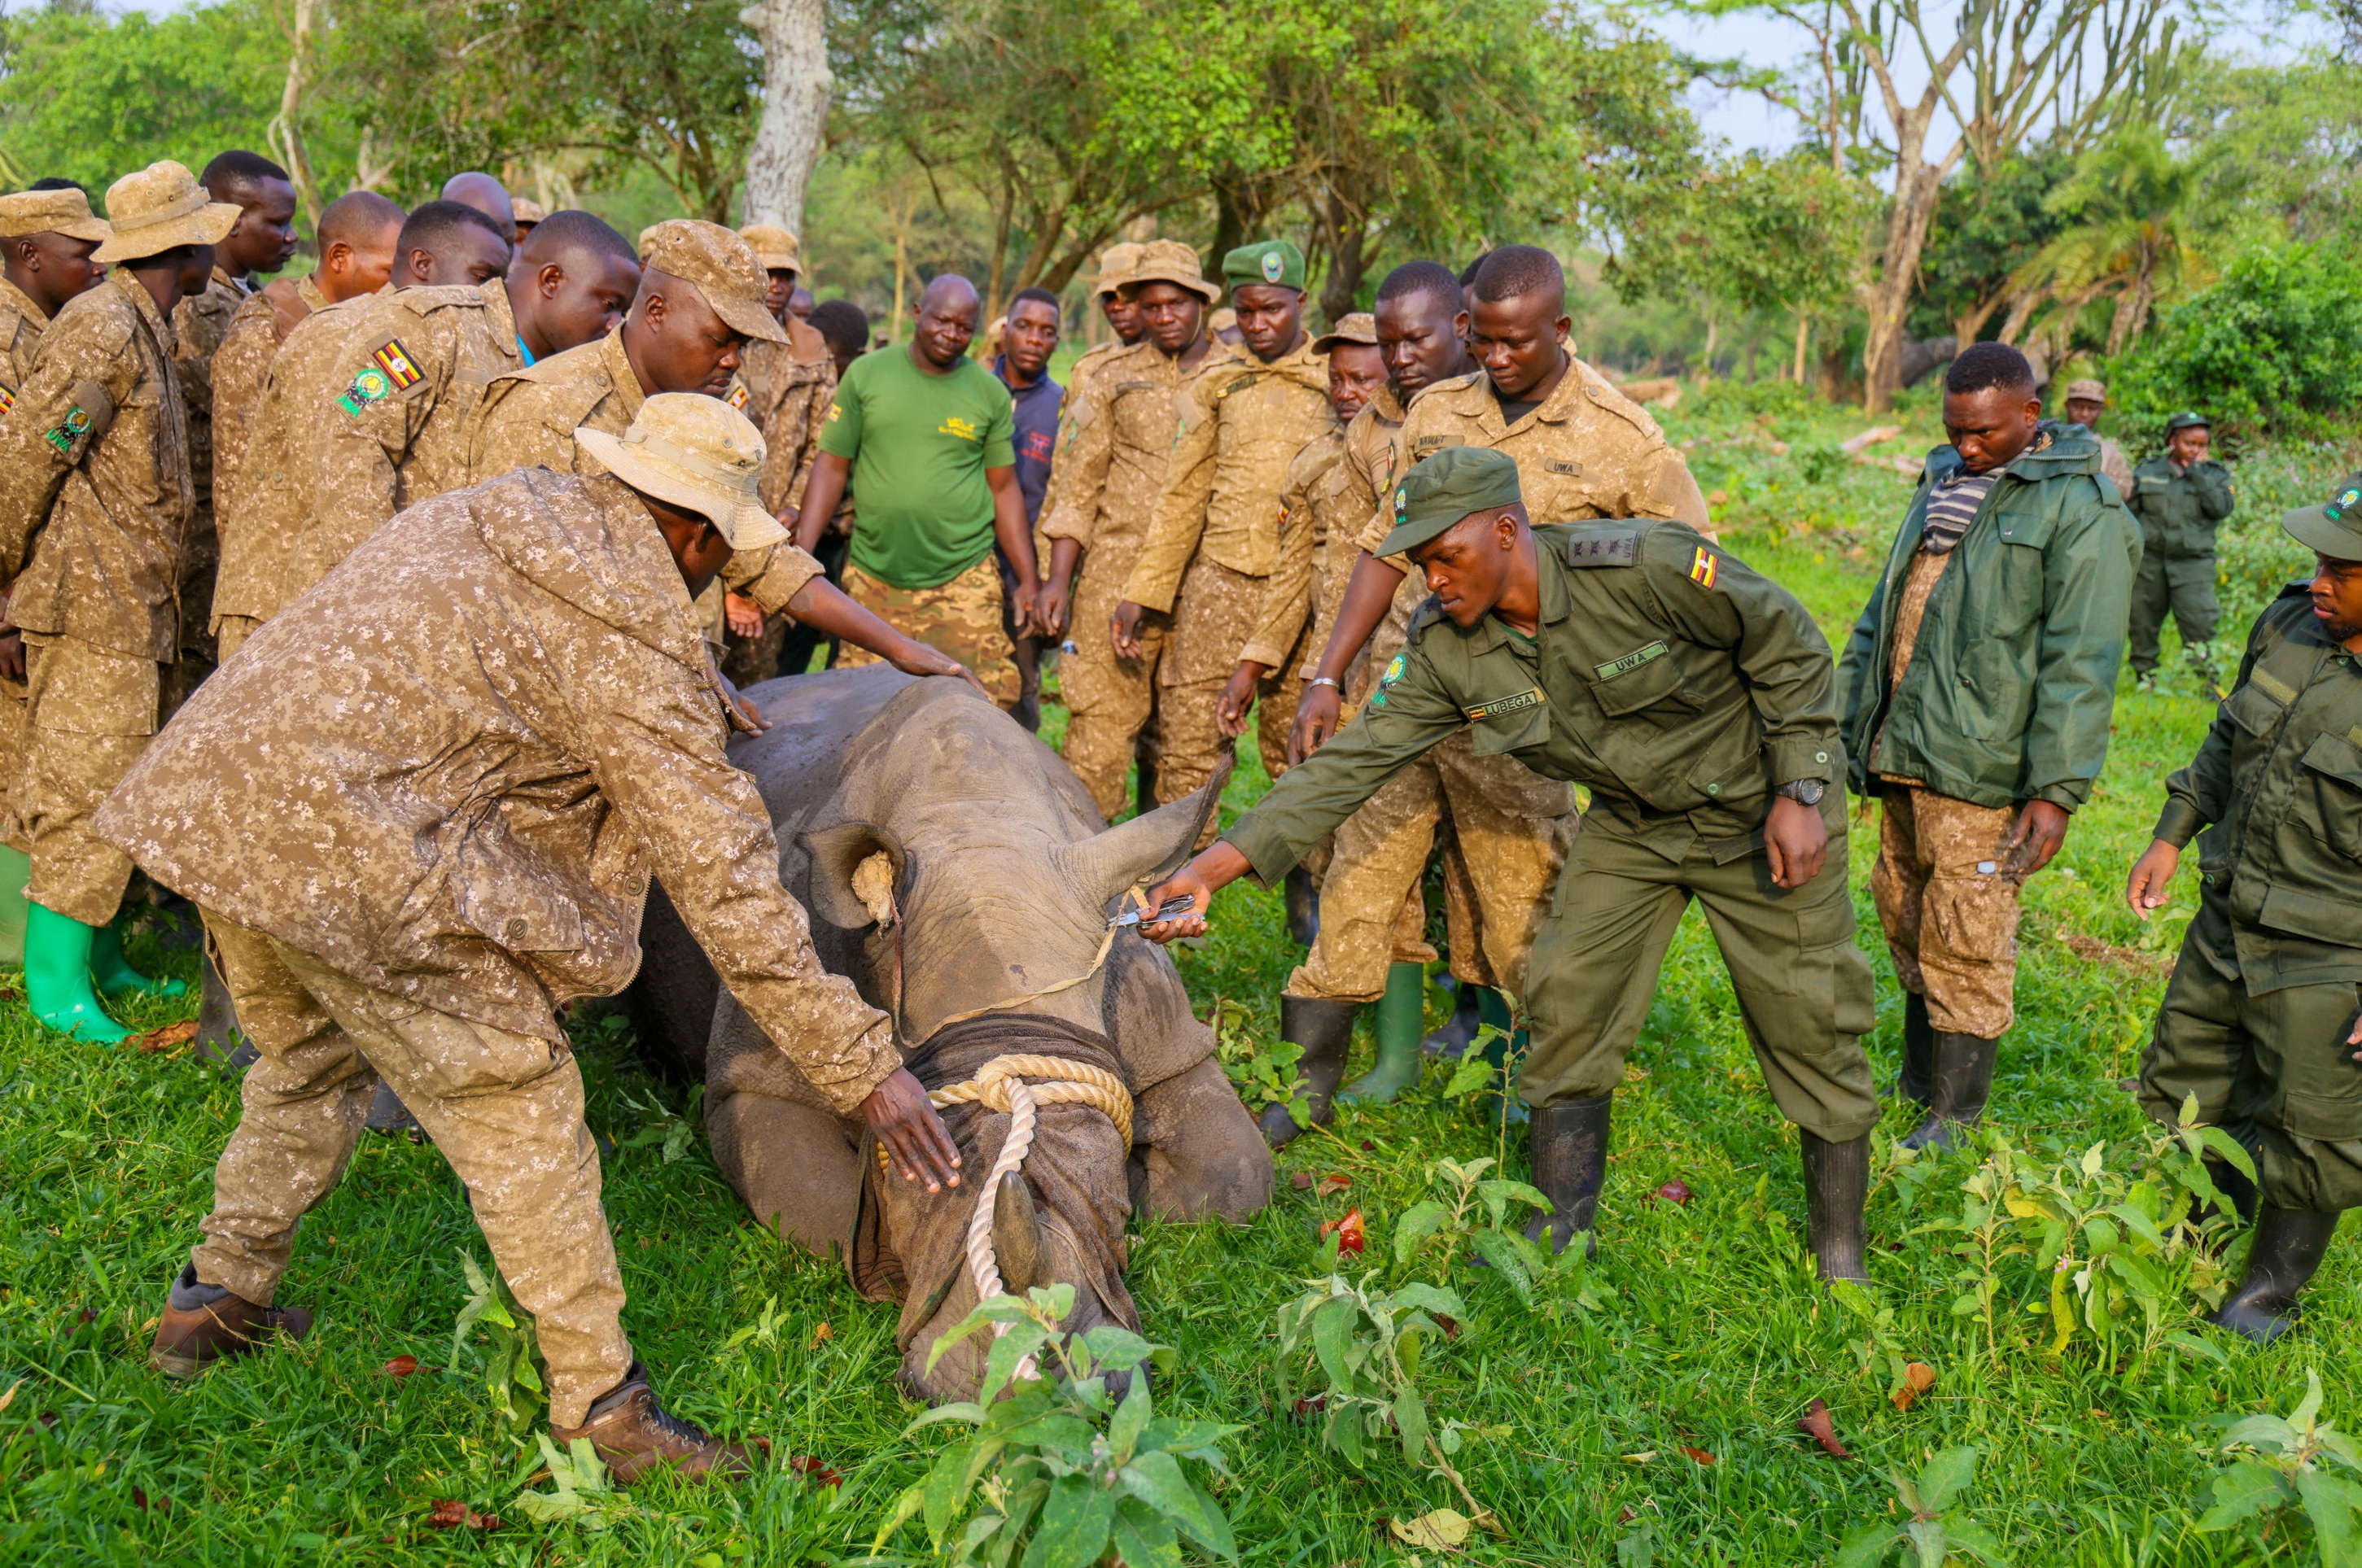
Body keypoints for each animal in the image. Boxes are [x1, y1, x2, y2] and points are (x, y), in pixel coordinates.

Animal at [627, 665, 1274, 1399]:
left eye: (1109, 1192)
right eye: (910, 1196)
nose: (1032, 1387)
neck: (975, 827)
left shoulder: (1165, 1034)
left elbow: (1235, 1177)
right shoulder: (754, 1079)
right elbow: (822, 1214)